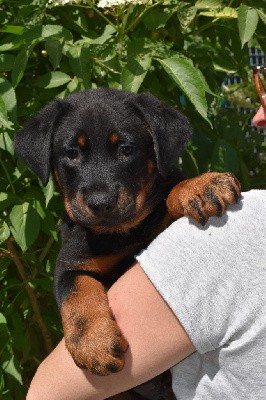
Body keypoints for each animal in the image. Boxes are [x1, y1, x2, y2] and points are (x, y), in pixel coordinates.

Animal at [14, 88, 241, 378]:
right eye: (71, 153)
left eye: (126, 149)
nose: (100, 202)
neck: (120, 234)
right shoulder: (70, 263)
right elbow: (75, 293)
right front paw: (94, 345)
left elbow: (171, 189)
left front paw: (202, 186)